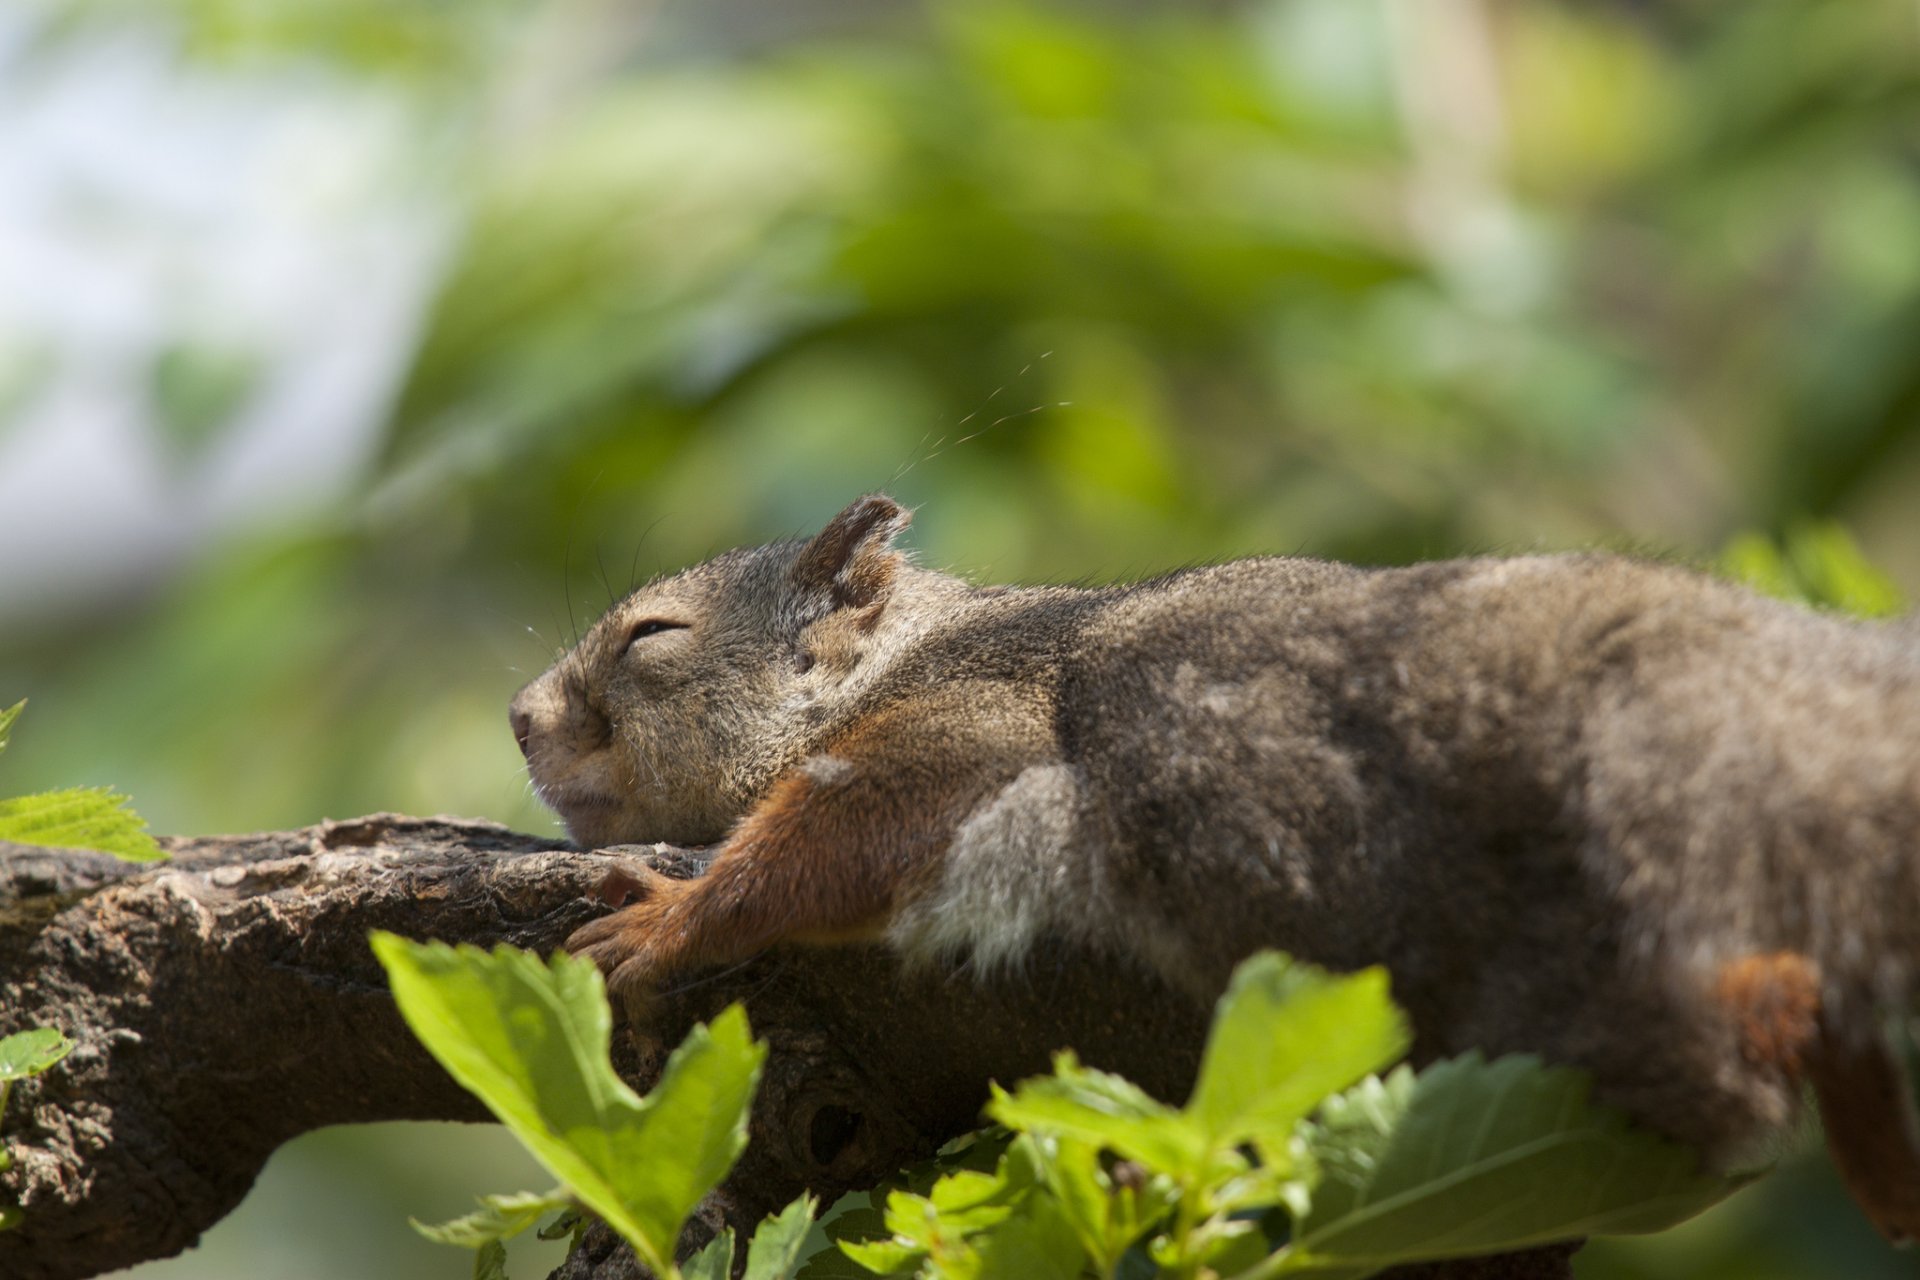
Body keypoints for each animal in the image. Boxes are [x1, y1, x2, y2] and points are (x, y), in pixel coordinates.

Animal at [508, 494, 1920, 1243]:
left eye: (650, 637)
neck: (905, 655)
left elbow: (839, 835)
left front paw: (673, 916)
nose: (519, 718)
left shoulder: (970, 726)